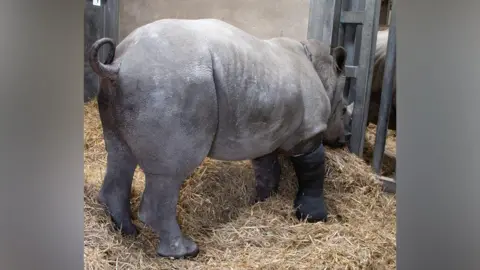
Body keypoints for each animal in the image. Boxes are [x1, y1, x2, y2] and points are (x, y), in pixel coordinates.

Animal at [88, 17, 346, 258]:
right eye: (344, 110)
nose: (342, 141)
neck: (323, 70)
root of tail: (120, 63)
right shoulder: (309, 132)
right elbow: (313, 168)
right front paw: (314, 217)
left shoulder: (265, 134)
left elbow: (266, 167)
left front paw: (262, 201)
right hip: (169, 85)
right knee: (168, 175)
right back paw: (185, 252)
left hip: (131, 87)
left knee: (119, 154)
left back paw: (127, 231)